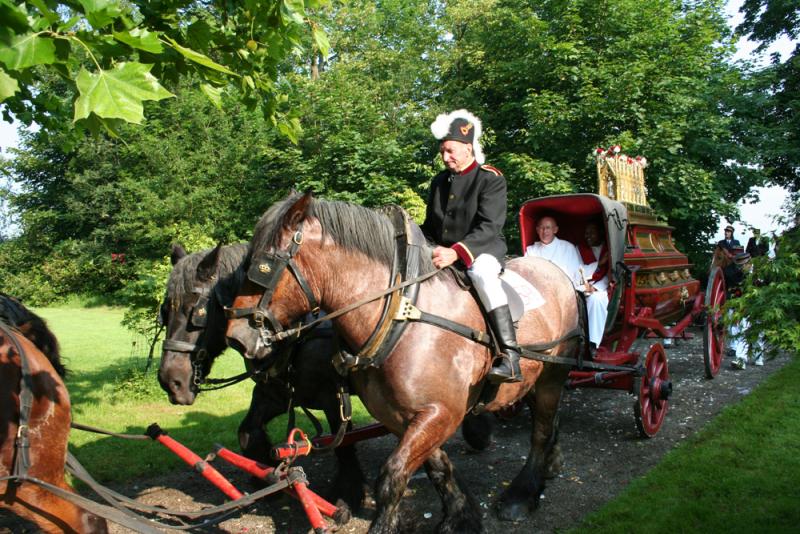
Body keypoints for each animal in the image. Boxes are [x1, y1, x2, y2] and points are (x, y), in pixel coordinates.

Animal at [155, 244, 366, 520]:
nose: (170, 381)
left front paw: (348, 494)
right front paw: (269, 476)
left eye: (196, 311)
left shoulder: (333, 398)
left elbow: (344, 446)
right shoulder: (273, 393)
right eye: (164, 310)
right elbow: (247, 432)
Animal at [225, 194, 580, 534]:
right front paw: (460, 515)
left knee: (540, 432)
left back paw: (522, 494)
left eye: (264, 266)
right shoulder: (402, 415)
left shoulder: (439, 413)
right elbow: (437, 467)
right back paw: (551, 464)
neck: (401, 315)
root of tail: (554, 270)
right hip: (532, 379)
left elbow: (392, 477)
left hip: (553, 376)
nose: (237, 338)